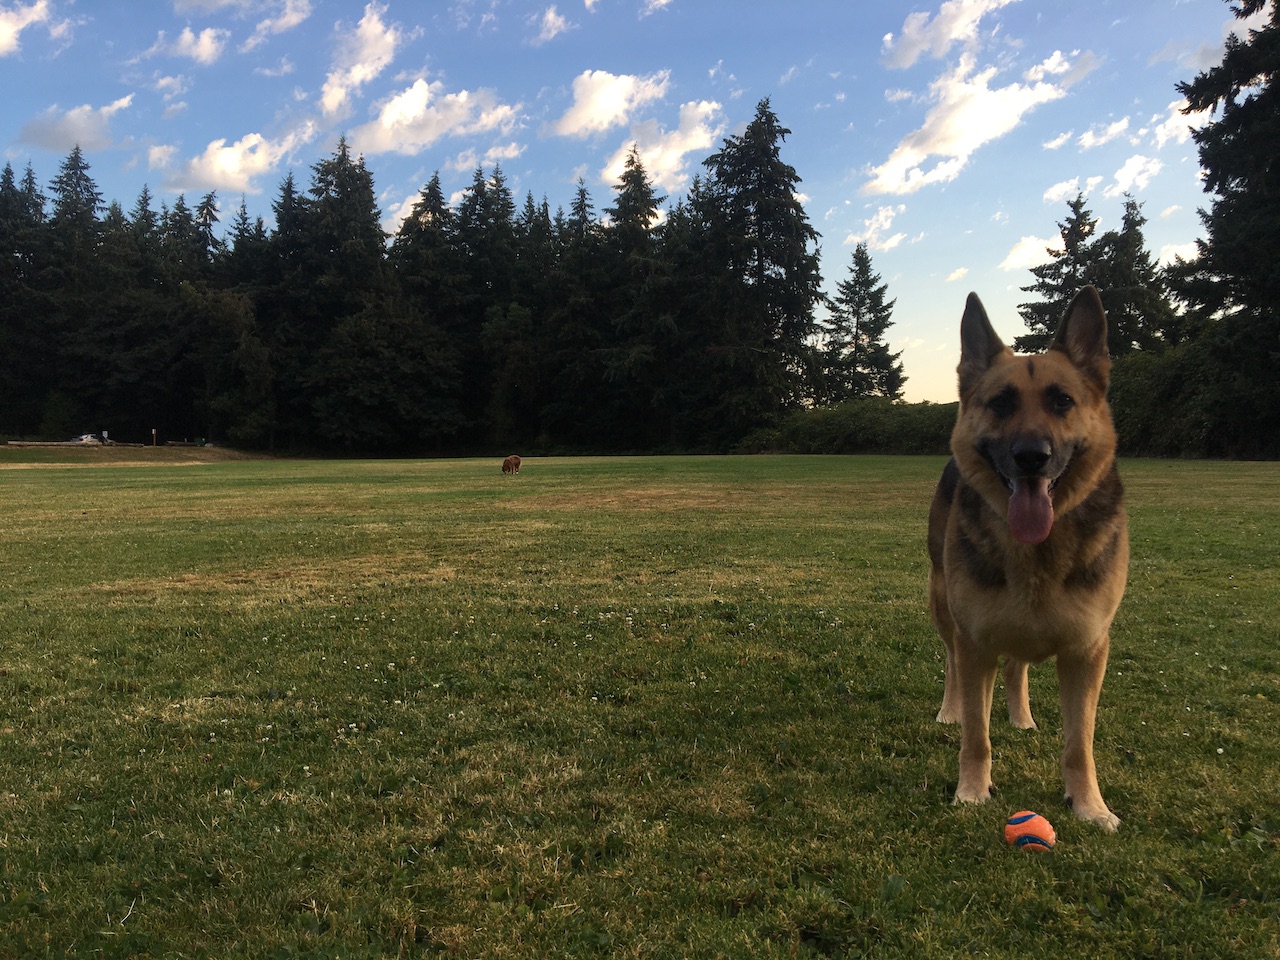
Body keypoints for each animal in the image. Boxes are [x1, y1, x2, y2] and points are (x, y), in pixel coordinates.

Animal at [926, 288, 1126, 834]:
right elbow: (976, 733)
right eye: (1001, 403)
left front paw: (1089, 805)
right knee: (952, 664)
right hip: (943, 605)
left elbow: (1080, 744)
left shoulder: (1087, 652)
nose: (1032, 456)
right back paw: (951, 710)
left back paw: (1021, 717)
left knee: (1017, 668)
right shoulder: (975, 643)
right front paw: (972, 791)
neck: (1037, 552)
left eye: (1062, 401)